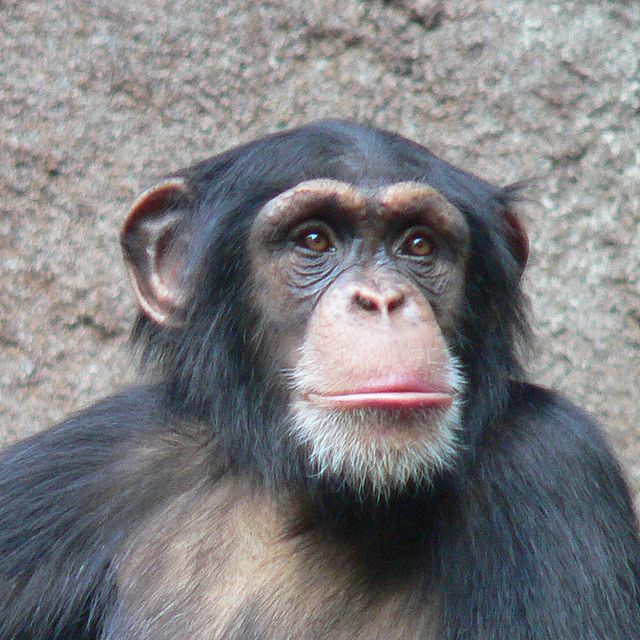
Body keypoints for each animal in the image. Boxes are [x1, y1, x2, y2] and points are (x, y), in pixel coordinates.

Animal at [1, 121, 640, 640]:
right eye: (313, 239)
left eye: (418, 244)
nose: (381, 299)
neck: (327, 496)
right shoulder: (82, 468)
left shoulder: (554, 463)